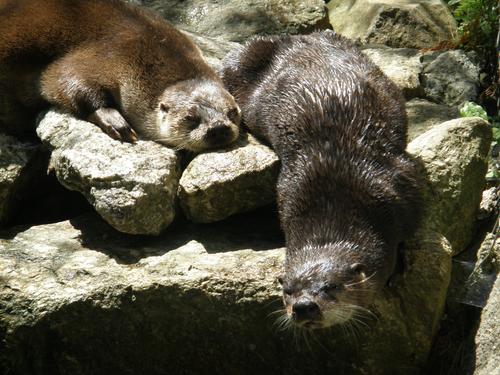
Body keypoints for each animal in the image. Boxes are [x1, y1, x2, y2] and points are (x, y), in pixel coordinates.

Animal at [0, 0, 240, 151]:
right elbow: (61, 80)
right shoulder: (107, 54)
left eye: (232, 112)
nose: (218, 127)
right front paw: (114, 120)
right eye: (190, 118)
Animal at [223, 33, 422, 332]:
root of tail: (295, 38)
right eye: (287, 292)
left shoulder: (402, 182)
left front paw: (400, 270)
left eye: (332, 287)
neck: (334, 203)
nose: (304, 306)